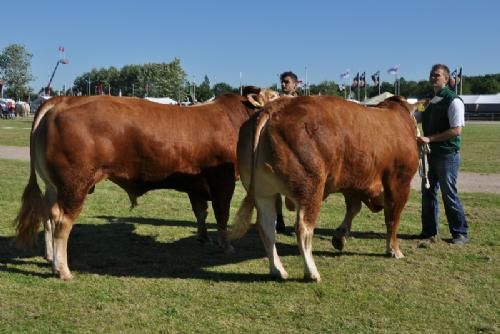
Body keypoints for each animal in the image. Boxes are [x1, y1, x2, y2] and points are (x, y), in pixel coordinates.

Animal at [15, 88, 280, 280]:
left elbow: (201, 212)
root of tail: (62, 100)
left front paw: (203, 238)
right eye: (276, 95)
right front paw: (225, 245)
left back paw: (50, 258)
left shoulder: (196, 184)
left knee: (48, 215)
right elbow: (222, 215)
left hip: (54, 185)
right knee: (61, 220)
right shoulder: (223, 181)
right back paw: (63, 270)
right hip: (75, 184)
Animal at [230, 95, 422, 280]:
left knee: (267, 228)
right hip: (310, 188)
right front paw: (394, 250)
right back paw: (311, 272)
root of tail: (274, 107)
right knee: (303, 228)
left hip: (264, 193)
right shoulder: (400, 183)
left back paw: (278, 270)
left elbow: (354, 208)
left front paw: (340, 237)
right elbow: (392, 218)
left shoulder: (351, 183)